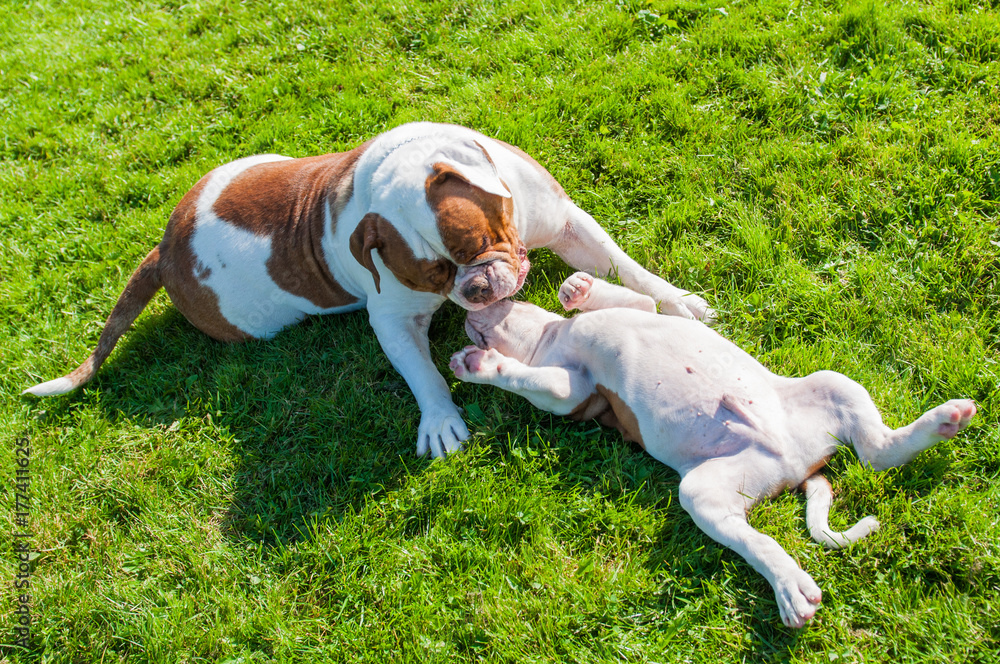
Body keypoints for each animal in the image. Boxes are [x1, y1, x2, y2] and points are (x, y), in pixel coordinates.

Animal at [23, 123, 712, 456]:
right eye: (434, 274)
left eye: (474, 244)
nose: (478, 289)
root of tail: (166, 252)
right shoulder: (394, 319)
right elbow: (422, 370)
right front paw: (441, 419)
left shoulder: (567, 222)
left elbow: (625, 265)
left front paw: (677, 301)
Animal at [452, 274, 976, 628]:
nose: (465, 314)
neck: (552, 337)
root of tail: (793, 463)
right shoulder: (568, 393)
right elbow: (526, 376)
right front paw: (480, 366)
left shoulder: (626, 323)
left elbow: (627, 297)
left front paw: (576, 287)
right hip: (706, 488)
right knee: (763, 535)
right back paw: (790, 586)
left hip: (832, 384)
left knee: (878, 452)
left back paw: (945, 418)